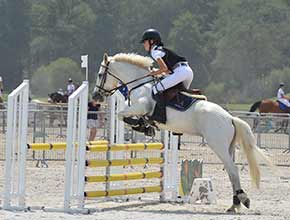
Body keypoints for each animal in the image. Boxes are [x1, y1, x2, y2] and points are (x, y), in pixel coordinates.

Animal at [94, 52, 274, 212]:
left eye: (100, 74)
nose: (96, 96)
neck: (141, 85)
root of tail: (230, 117)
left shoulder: (141, 107)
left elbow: (121, 115)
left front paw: (141, 126)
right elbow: (125, 114)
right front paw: (146, 126)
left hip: (218, 145)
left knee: (233, 170)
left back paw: (242, 200)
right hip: (227, 147)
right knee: (231, 172)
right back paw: (234, 204)